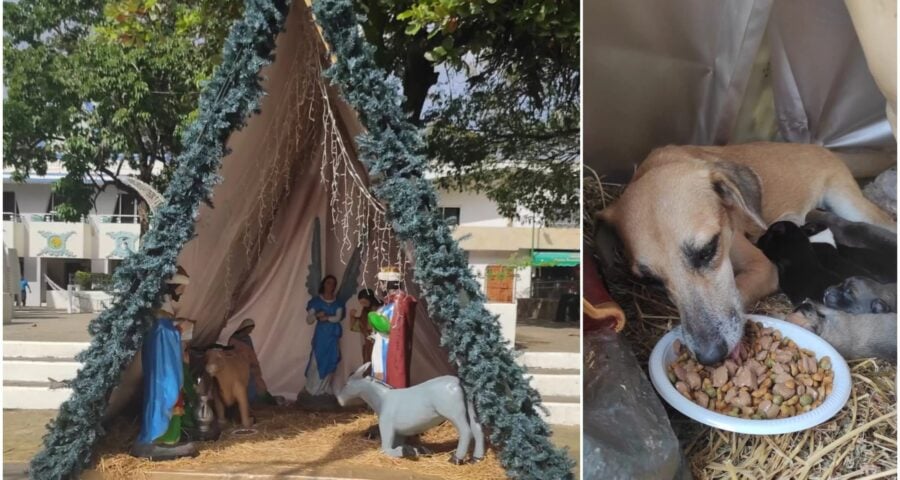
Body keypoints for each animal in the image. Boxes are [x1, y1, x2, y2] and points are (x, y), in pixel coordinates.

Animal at [596, 142, 892, 364]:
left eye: (707, 251)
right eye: (651, 280)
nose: (710, 356)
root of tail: (820, 147)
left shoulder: (762, 267)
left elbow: (739, 293)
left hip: (849, 203)